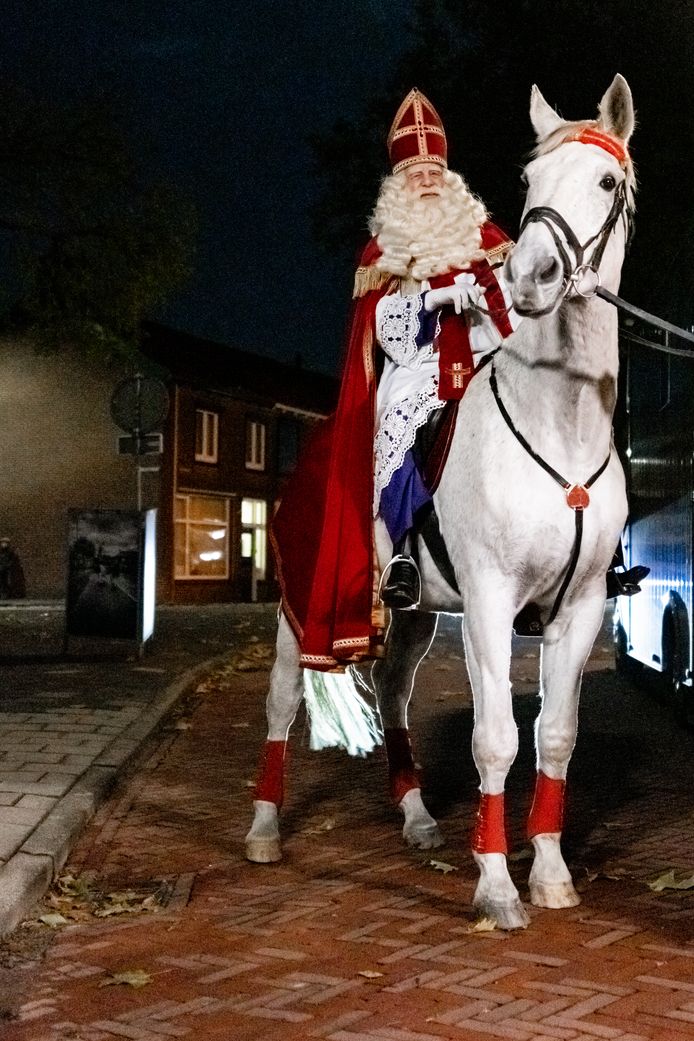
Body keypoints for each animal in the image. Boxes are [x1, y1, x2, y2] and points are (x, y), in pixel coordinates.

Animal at [246, 77, 636, 932]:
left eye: (605, 181)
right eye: (528, 179)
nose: (530, 275)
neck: (559, 421)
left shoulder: (582, 605)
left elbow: (556, 736)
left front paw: (549, 870)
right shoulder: (491, 599)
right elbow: (496, 739)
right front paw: (495, 885)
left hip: (417, 609)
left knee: (393, 690)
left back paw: (418, 814)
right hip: (301, 607)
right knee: (281, 703)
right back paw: (262, 828)